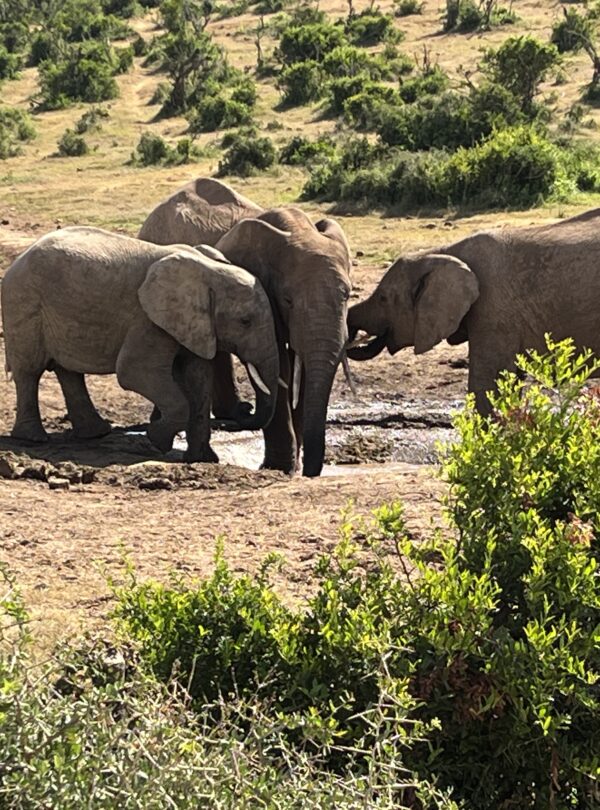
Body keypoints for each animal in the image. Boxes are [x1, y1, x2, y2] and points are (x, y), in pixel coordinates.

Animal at [1, 226, 279, 462]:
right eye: (245, 321)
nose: (246, 408)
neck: (207, 270)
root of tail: (17, 261)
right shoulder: (148, 319)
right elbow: (134, 372)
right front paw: (156, 441)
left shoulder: (194, 324)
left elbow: (199, 377)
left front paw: (203, 460)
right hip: (24, 304)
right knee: (29, 372)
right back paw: (33, 438)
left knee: (68, 371)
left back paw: (96, 433)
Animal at [138, 177, 353, 477]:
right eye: (288, 300)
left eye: (348, 295)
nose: (310, 473)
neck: (296, 229)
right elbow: (280, 368)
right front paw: (279, 468)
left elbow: (301, 366)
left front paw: (293, 466)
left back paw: (233, 412)